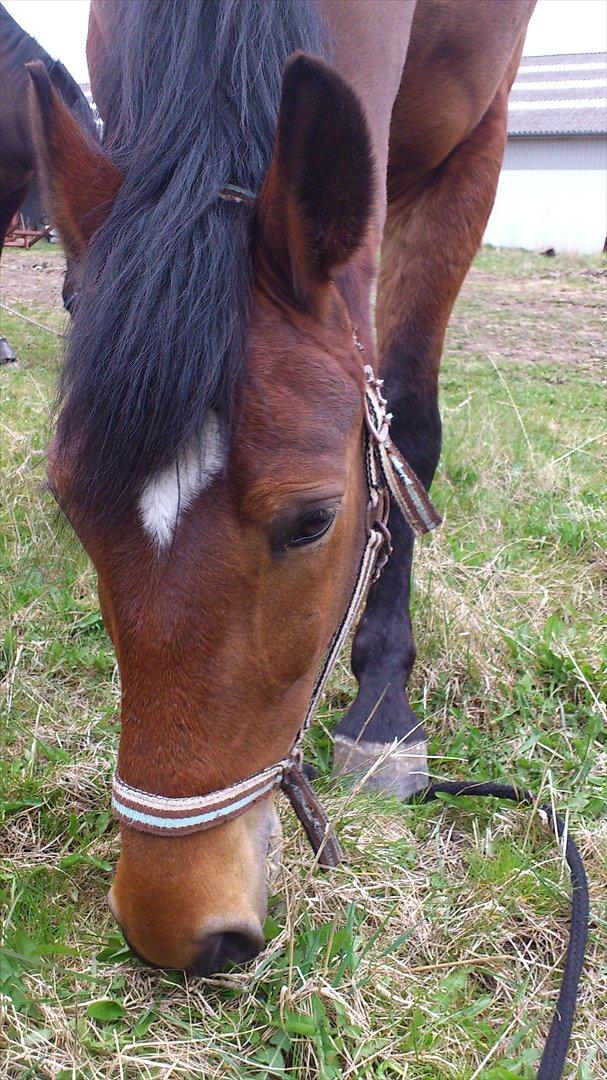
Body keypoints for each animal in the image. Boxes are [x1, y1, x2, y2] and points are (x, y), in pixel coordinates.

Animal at [27, 0, 533, 976]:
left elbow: (406, 422)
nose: (175, 922)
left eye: (312, 521)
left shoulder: (471, 146)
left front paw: (383, 708)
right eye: (70, 506)